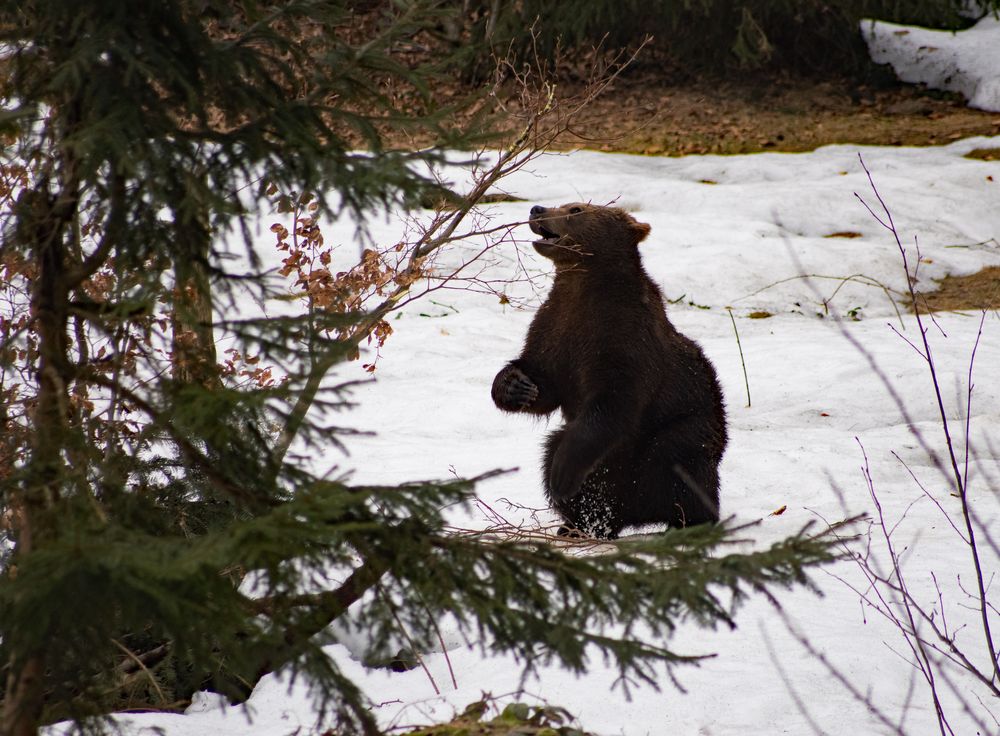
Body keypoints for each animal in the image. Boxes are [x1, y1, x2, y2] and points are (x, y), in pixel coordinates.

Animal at [492, 204, 728, 536]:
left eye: (575, 209)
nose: (537, 209)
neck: (585, 286)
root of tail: (635, 515)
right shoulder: (554, 329)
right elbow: (543, 379)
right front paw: (516, 386)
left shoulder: (625, 339)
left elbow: (613, 402)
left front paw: (562, 474)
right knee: (555, 451)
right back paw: (580, 525)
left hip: (687, 426)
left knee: (677, 461)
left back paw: (689, 522)